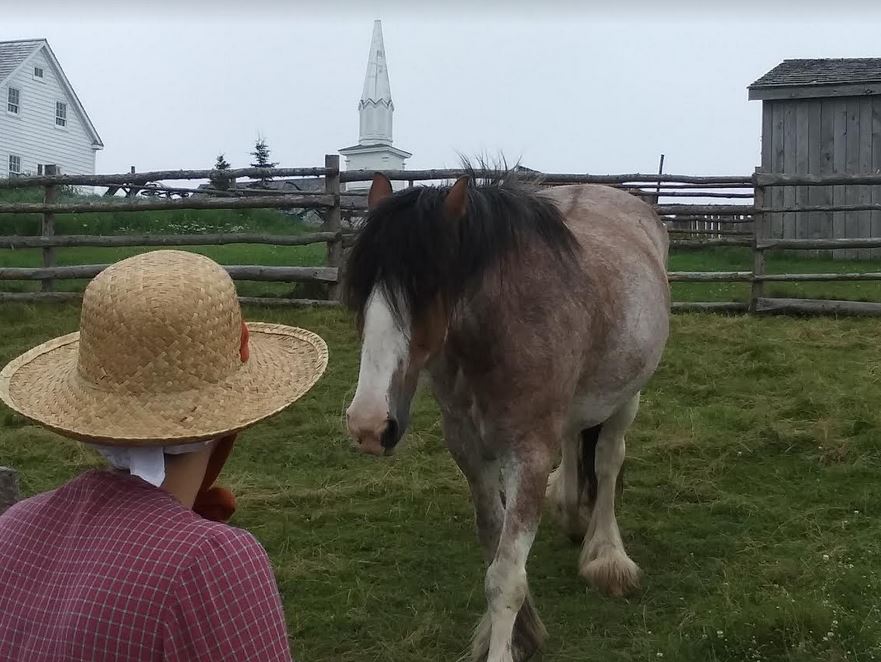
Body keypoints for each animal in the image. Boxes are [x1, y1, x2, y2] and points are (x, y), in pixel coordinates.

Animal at [342, 167, 668, 662]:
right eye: (361, 293)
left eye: (428, 290)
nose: (368, 426)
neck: (503, 331)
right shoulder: (470, 451)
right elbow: (494, 549)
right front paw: (522, 634)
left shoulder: (527, 455)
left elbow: (506, 576)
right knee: (575, 443)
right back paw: (570, 511)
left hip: (627, 396)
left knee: (609, 462)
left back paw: (607, 556)